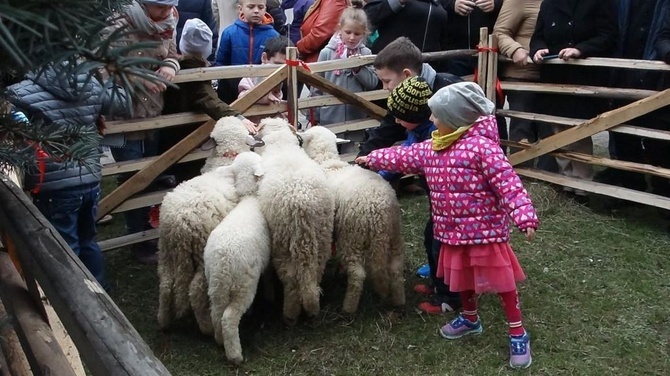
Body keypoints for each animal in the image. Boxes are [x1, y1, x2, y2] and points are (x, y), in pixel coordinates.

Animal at [157, 147, 262, 334]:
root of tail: (177, 224)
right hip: (200, 253)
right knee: (195, 290)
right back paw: (205, 327)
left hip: (165, 251)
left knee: (165, 284)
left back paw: (163, 320)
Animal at [203, 195, 270, 366]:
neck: (250, 197)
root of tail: (223, 262)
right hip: (244, 286)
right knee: (229, 318)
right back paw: (235, 355)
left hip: (216, 288)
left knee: (216, 314)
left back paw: (220, 341)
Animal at [255, 118, 336, 326]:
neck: (280, 143)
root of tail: (302, 205)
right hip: (322, 234)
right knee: (314, 274)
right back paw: (313, 311)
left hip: (282, 241)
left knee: (291, 281)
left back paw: (290, 317)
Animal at [302, 126, 406, 314]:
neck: (328, 163)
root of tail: (379, 210)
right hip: (395, 234)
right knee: (395, 267)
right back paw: (398, 300)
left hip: (351, 236)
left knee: (358, 274)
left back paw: (348, 307)